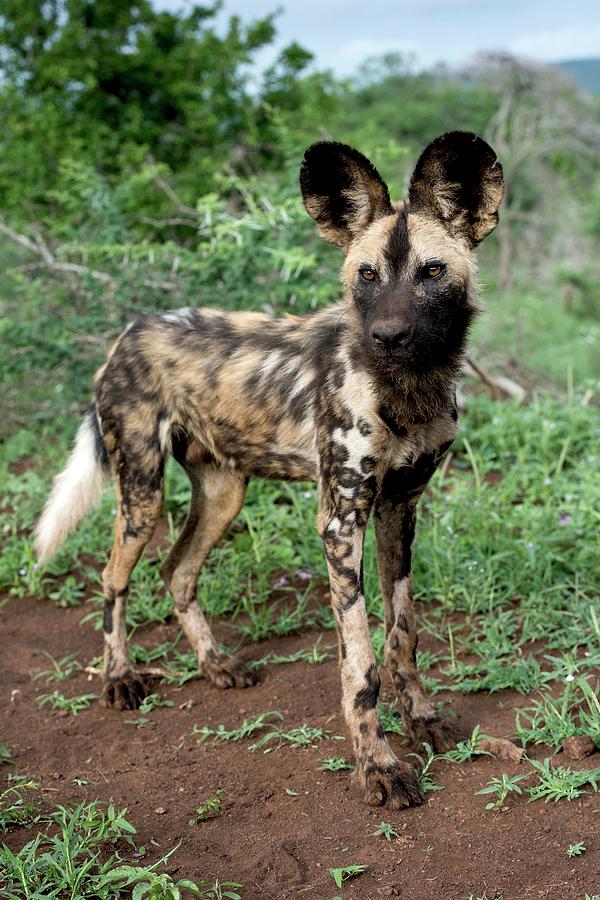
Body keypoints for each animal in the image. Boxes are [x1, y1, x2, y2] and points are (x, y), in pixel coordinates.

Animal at [37, 132, 504, 808]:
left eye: (432, 272)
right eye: (366, 276)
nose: (388, 335)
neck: (408, 388)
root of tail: (129, 331)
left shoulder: (399, 508)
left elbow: (403, 635)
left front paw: (423, 720)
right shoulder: (342, 522)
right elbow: (360, 664)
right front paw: (380, 767)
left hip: (224, 493)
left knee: (177, 570)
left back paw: (216, 665)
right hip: (142, 493)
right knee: (113, 576)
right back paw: (120, 677)